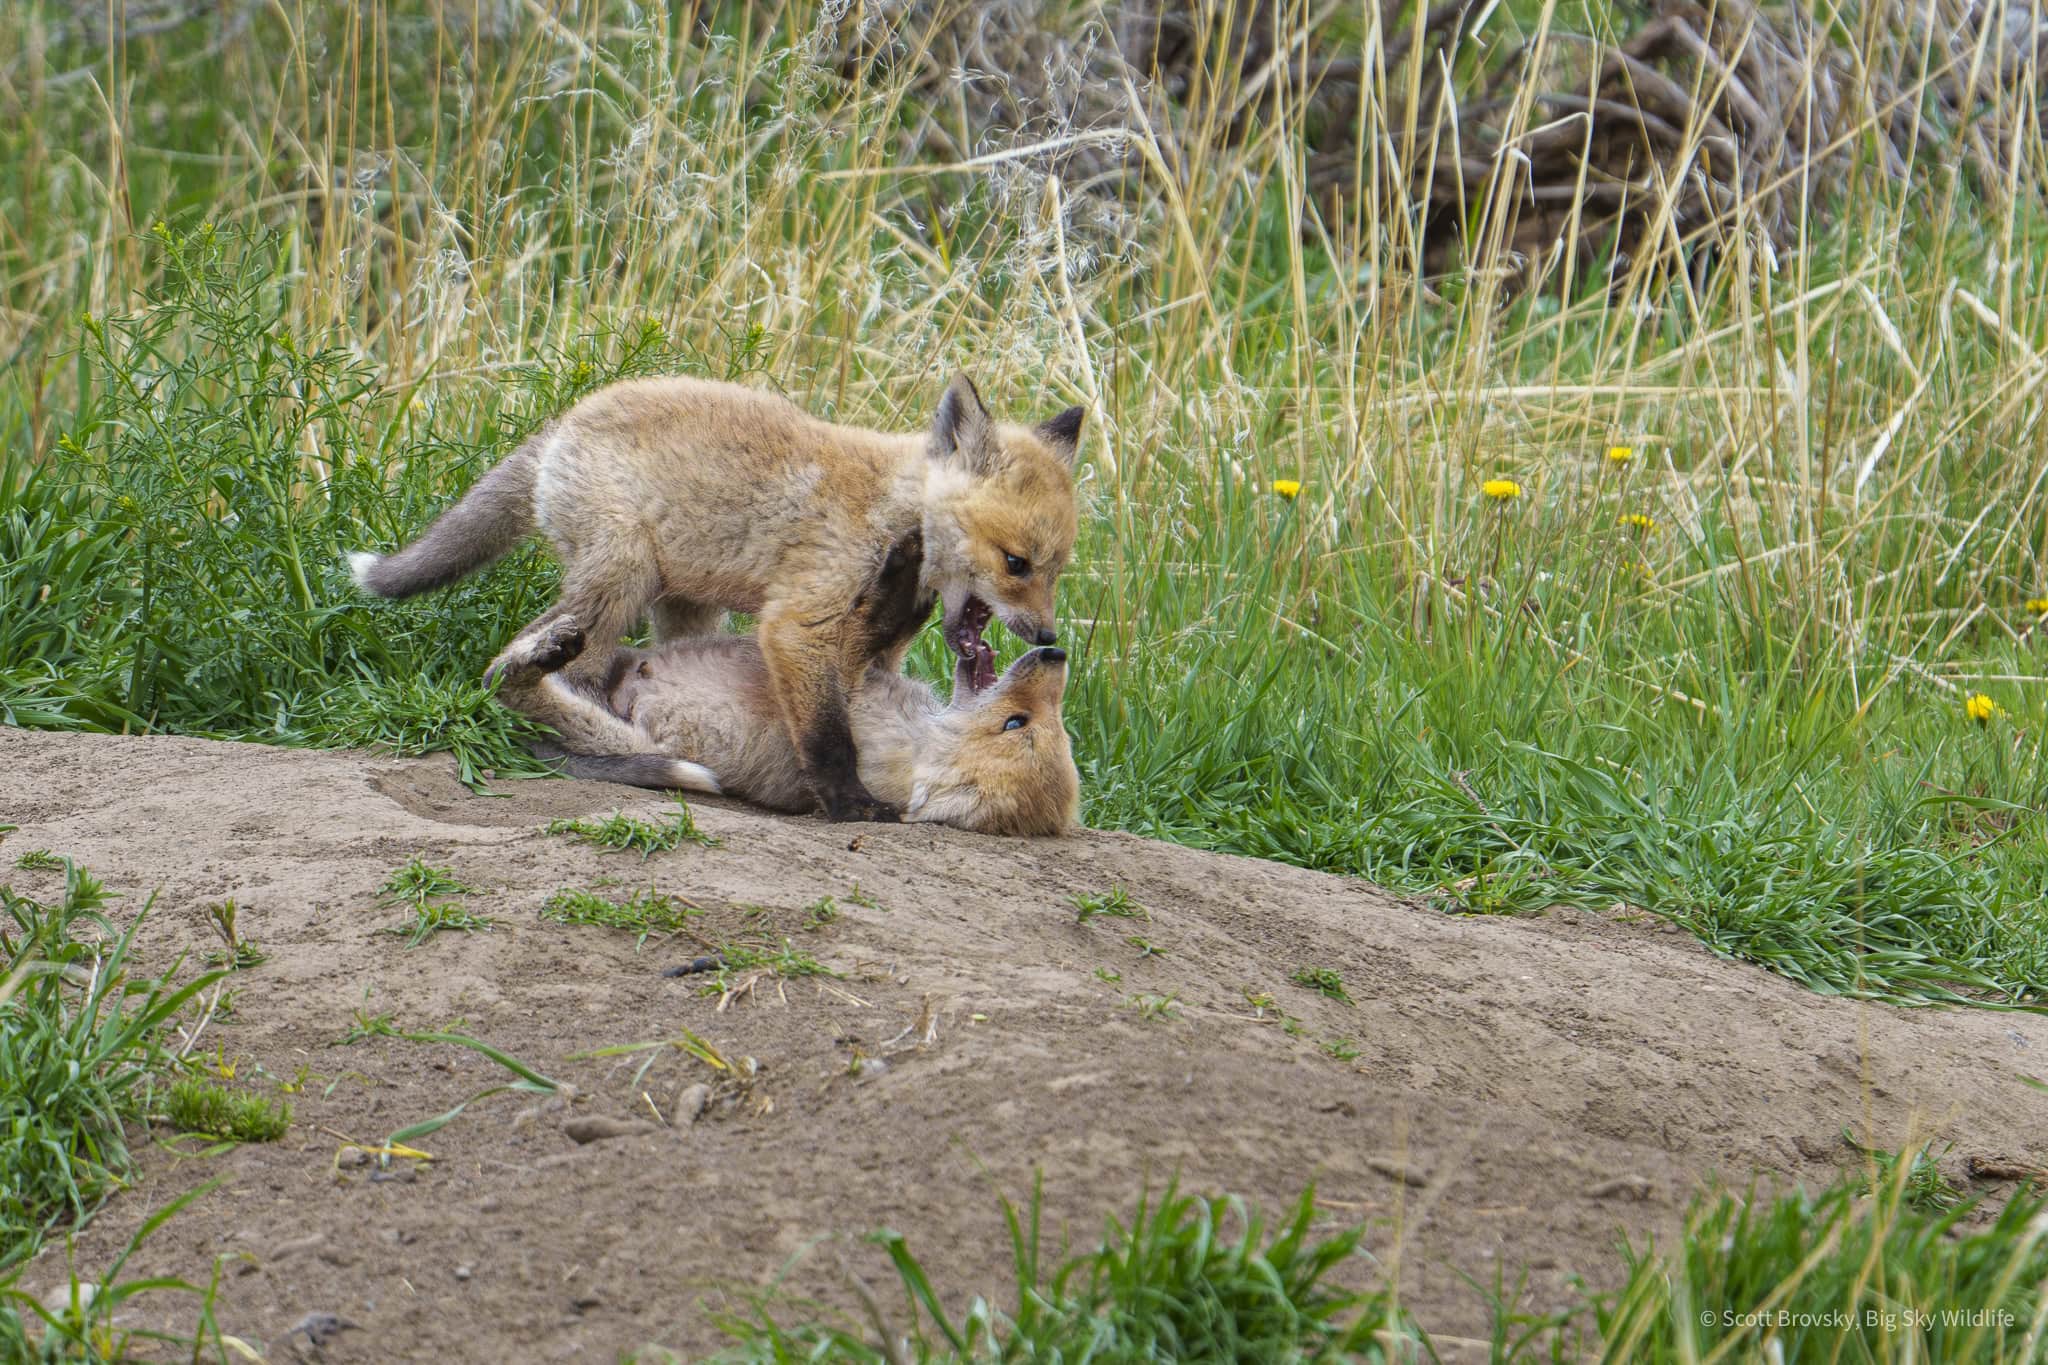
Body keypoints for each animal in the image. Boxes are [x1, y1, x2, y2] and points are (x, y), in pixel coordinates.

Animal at [486, 530, 1080, 836]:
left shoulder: (841, 694)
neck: (917, 735)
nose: (1056, 653)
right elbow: (892, 627)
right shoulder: (872, 673)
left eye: (1015, 723)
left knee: (513, 692)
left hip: (622, 738)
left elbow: (867, 630)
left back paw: (533, 660)